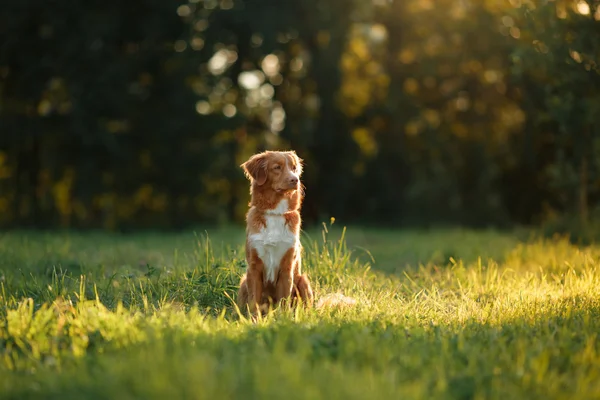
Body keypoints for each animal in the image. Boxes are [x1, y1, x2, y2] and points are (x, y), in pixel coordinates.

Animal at [238, 150, 316, 316]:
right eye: (277, 167)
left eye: (294, 168)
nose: (295, 180)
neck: (275, 213)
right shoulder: (254, 267)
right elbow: (254, 301)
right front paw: (254, 319)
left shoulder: (287, 267)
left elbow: (284, 300)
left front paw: (283, 318)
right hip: (243, 282)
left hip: (303, 280)